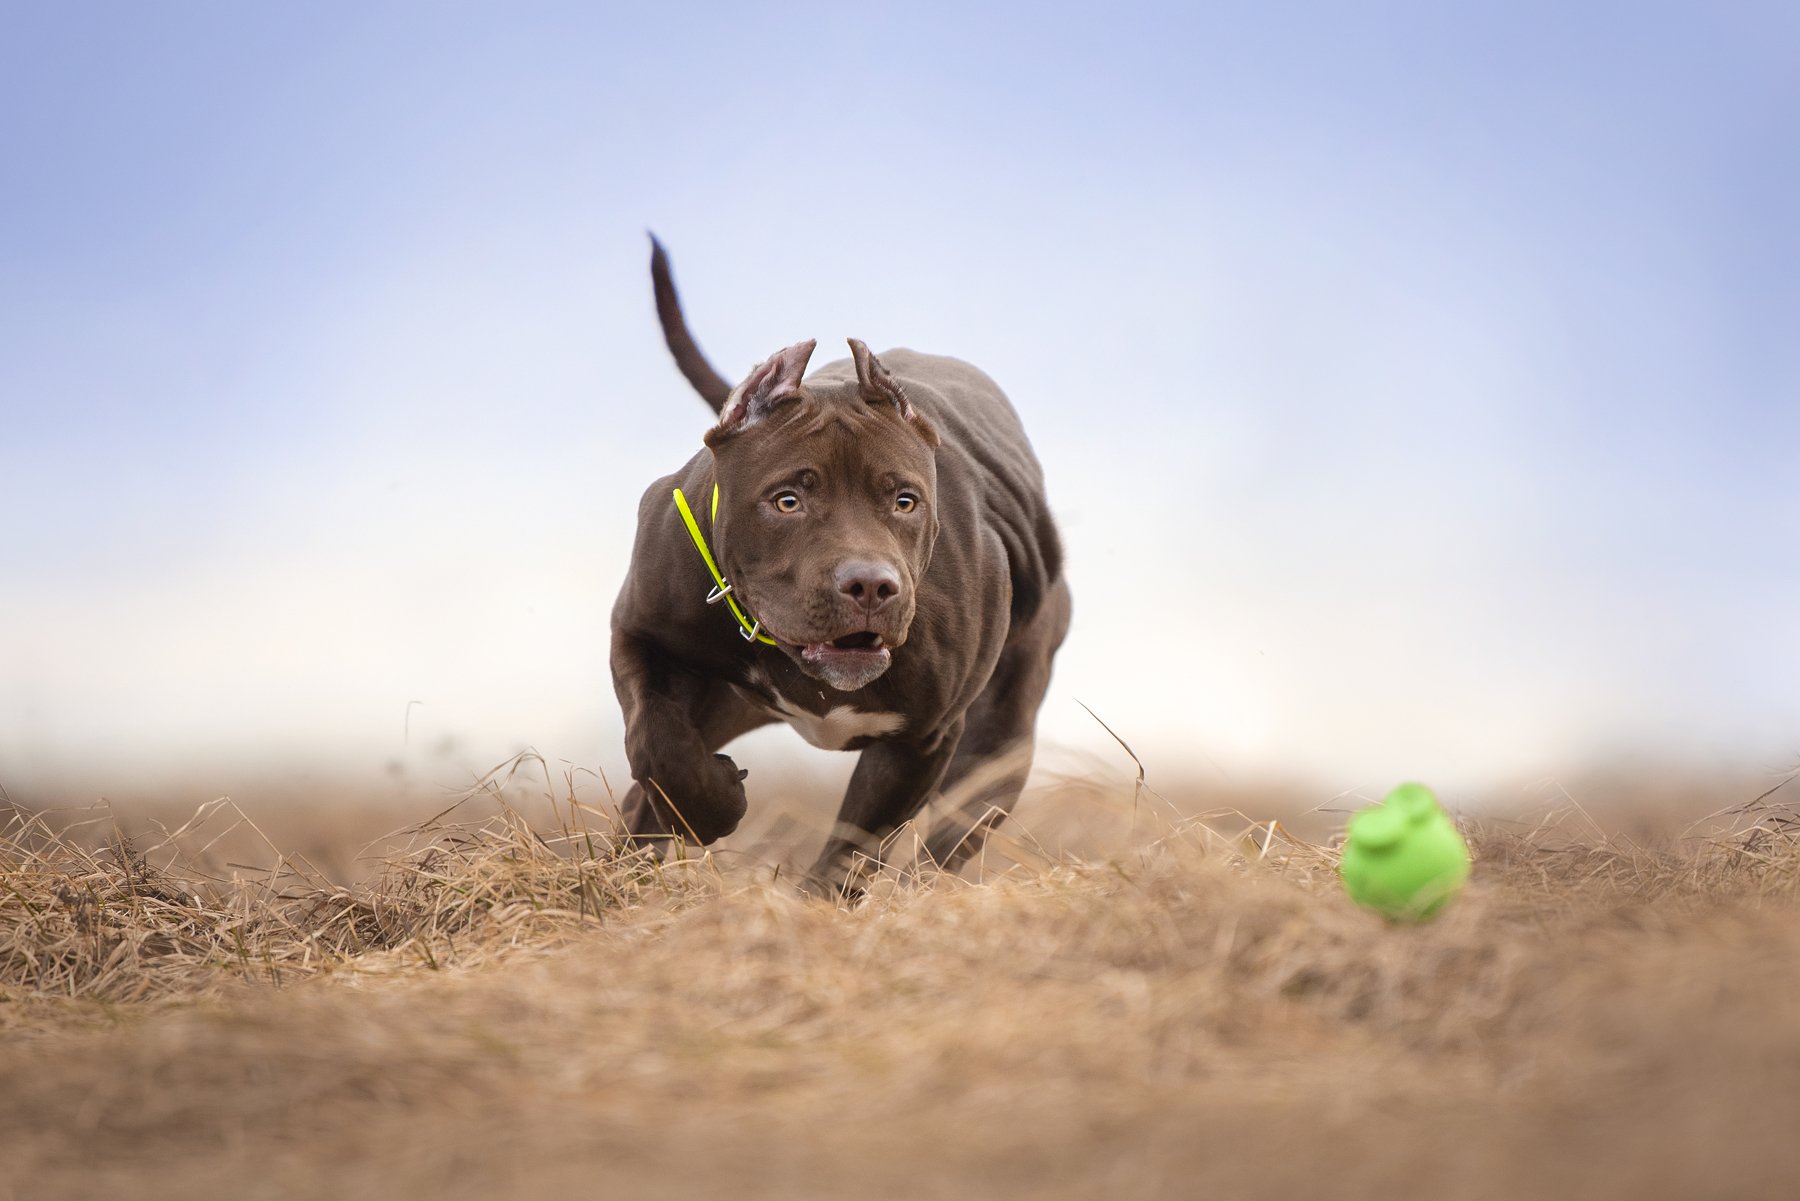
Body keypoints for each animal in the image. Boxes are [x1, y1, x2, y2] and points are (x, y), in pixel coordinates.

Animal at [619, 237, 1065, 893]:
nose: (871, 586)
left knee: (946, 843)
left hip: (998, 743)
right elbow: (657, 741)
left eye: (905, 501)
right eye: (787, 500)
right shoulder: (640, 635)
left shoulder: (923, 739)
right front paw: (709, 806)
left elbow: (855, 844)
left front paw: (811, 903)